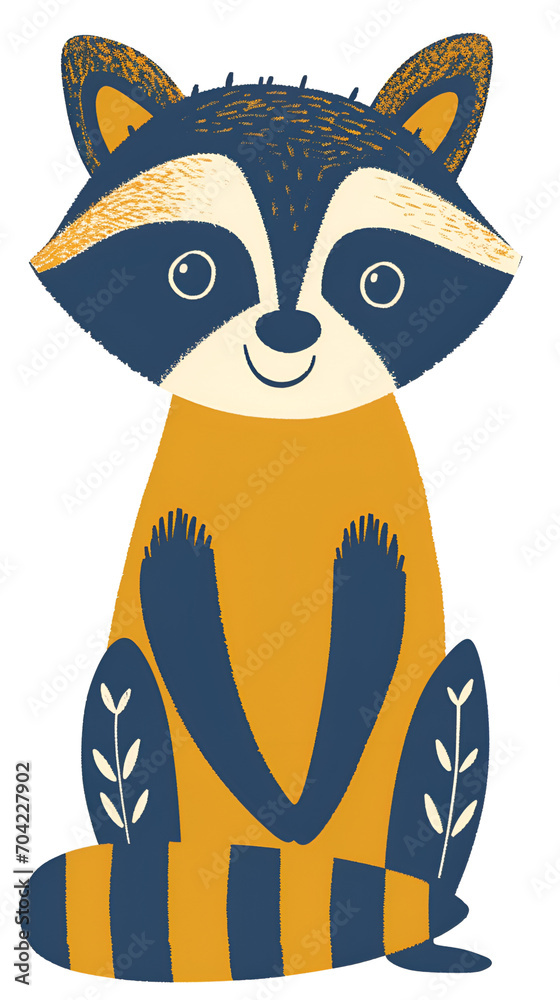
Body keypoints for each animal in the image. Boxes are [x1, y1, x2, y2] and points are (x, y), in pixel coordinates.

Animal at [28, 33, 519, 982]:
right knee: (130, 689)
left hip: (421, 750)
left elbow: (379, 606)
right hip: (147, 746)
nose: (289, 335)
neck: (281, 432)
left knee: (450, 705)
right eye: (192, 274)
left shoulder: (383, 519)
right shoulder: (176, 516)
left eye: (379, 281)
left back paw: (419, 935)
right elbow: (173, 597)